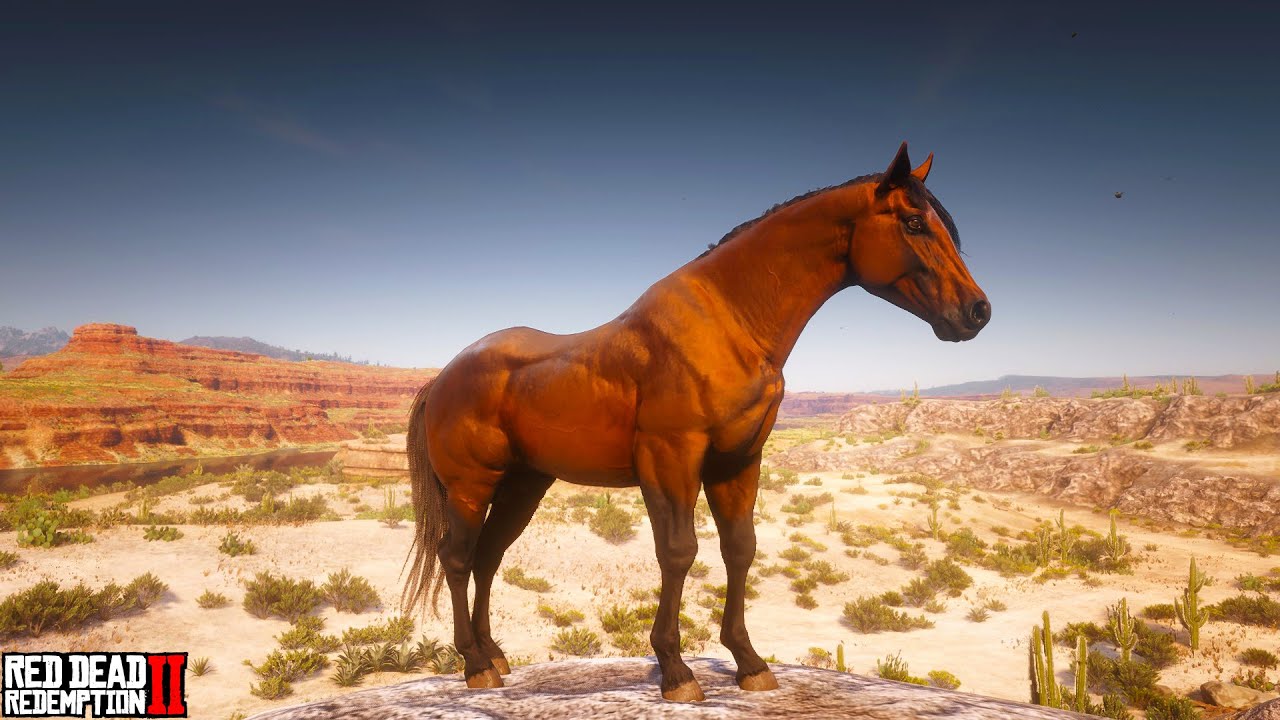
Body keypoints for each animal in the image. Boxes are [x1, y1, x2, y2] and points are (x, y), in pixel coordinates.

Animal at [402, 142, 990, 702]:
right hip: (472, 486)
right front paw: (676, 671)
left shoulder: (738, 462)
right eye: (913, 222)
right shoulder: (672, 457)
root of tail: (442, 378)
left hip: (523, 485)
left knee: (488, 558)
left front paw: (749, 663)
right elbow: (679, 552)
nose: (977, 311)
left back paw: (495, 656)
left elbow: (740, 549)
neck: (729, 324)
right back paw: (475, 666)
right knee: (457, 558)